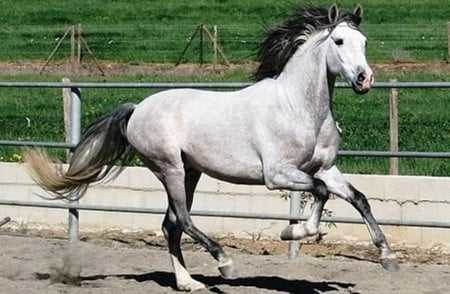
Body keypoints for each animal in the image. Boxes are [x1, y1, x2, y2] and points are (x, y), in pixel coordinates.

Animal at [25, 4, 398, 292]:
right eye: (339, 40)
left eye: (364, 41)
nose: (365, 79)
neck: (298, 107)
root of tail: (137, 108)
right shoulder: (278, 174)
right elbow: (320, 192)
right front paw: (294, 231)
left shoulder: (325, 167)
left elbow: (358, 198)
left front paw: (388, 257)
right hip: (170, 169)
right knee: (183, 219)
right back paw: (225, 263)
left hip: (190, 171)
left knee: (171, 225)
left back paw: (188, 282)